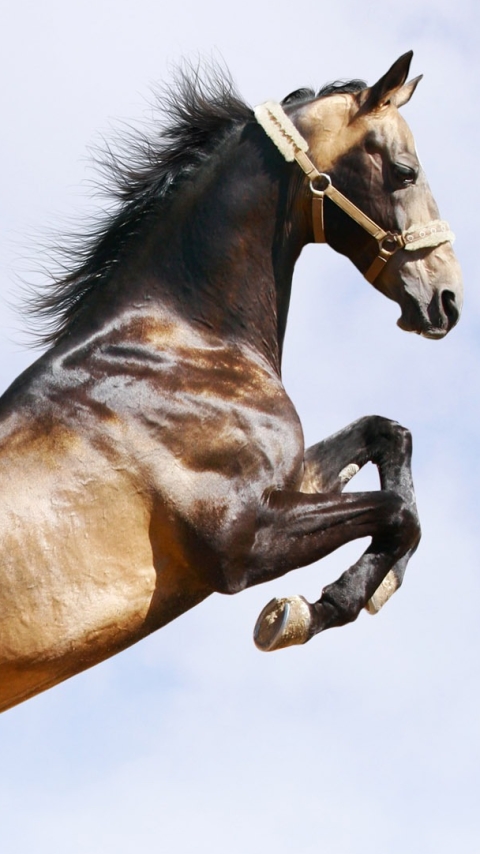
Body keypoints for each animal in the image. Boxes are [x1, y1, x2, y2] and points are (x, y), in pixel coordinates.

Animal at [1, 50, 464, 712]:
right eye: (405, 171)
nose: (447, 299)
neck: (182, 340)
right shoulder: (244, 540)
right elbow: (399, 513)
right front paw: (311, 610)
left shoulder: (287, 483)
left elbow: (389, 436)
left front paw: (372, 588)